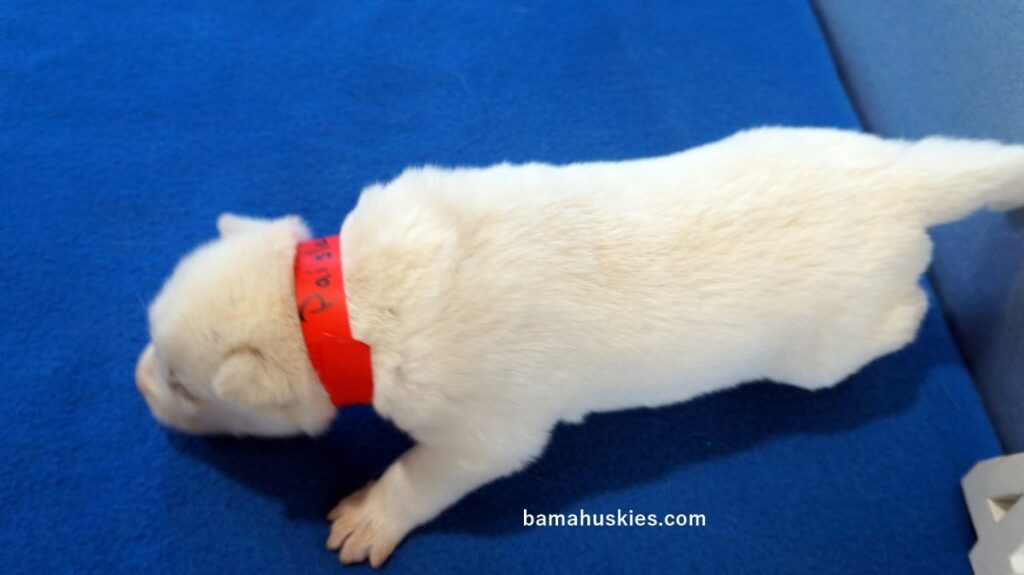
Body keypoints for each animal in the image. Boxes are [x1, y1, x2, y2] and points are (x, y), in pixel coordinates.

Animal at [136, 127, 1024, 567]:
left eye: (181, 384)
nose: (140, 381)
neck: (347, 298)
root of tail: (896, 177)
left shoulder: (485, 431)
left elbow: (429, 471)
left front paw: (372, 513)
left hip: (828, 343)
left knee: (903, 313)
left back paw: (908, 313)